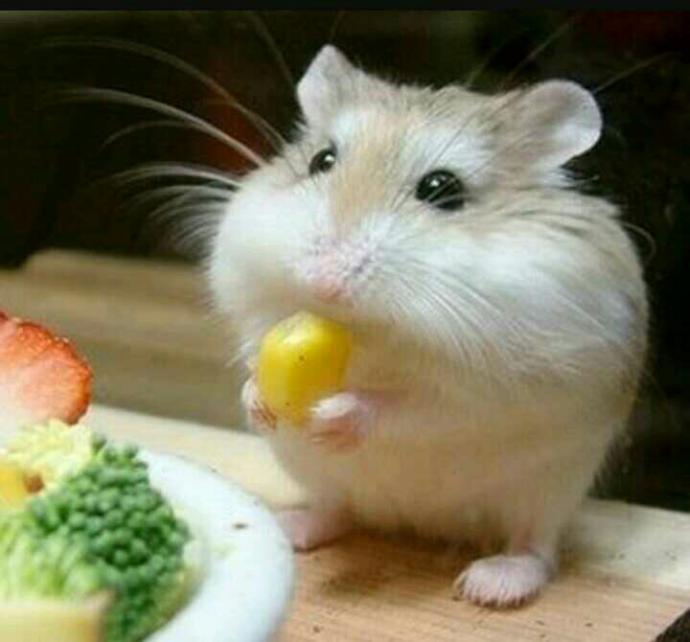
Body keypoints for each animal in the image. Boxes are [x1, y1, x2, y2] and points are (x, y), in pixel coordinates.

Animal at [207, 45, 648, 607]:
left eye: (442, 188)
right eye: (321, 161)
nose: (324, 282)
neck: (369, 331)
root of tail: (418, 524)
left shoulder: (490, 389)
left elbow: (414, 406)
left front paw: (337, 415)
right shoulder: (256, 315)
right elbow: (252, 361)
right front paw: (258, 402)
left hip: (551, 487)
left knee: (536, 547)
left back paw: (491, 585)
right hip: (316, 471)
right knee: (337, 510)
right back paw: (292, 526)